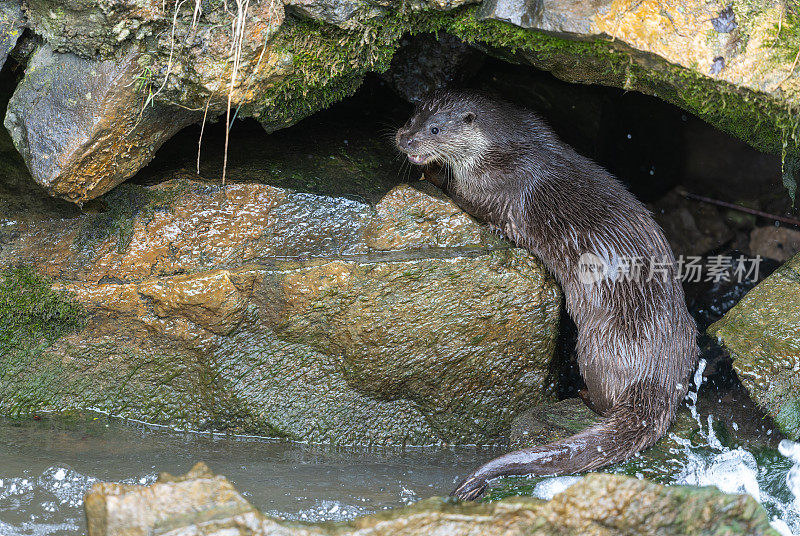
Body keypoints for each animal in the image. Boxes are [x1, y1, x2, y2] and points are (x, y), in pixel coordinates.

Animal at [396, 89, 700, 502]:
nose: (404, 140)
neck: (505, 150)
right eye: (412, 115)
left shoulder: (493, 188)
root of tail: (659, 376)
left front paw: (431, 174)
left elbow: (464, 197)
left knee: (605, 400)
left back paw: (585, 395)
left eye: (435, 129)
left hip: (601, 343)